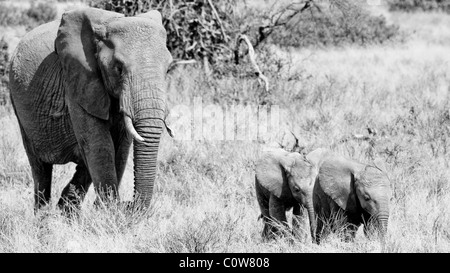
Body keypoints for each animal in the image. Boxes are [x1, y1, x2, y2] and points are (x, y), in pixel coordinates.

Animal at [11, 6, 172, 210]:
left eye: (167, 69)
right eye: (119, 68)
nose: (128, 203)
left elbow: (120, 148)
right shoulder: (77, 83)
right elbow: (100, 145)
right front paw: (110, 210)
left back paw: (66, 208)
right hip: (19, 108)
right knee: (40, 168)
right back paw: (45, 215)